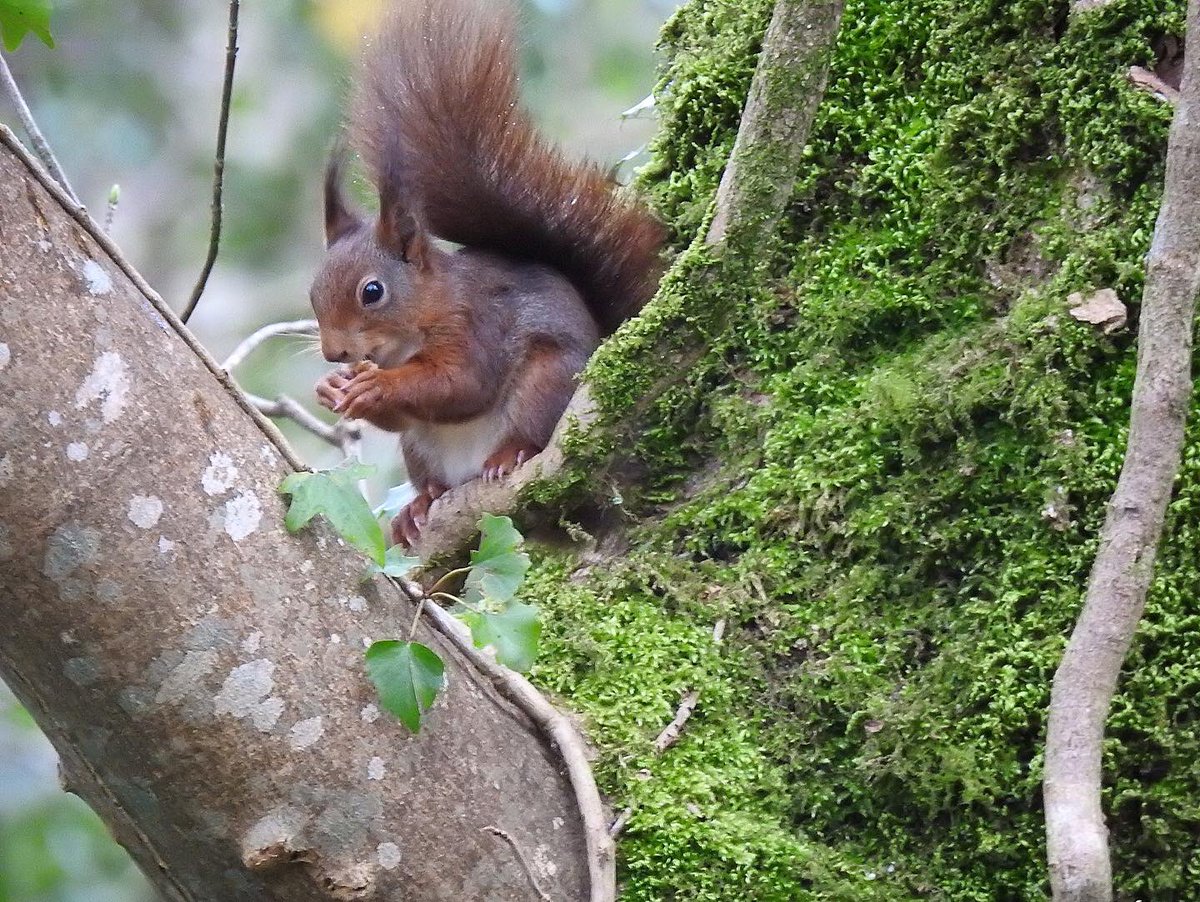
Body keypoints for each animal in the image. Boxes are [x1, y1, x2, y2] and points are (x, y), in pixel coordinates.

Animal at [309, 0, 667, 546]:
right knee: (428, 473)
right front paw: (333, 388)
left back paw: (510, 453)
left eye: (372, 291)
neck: (411, 332)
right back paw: (420, 505)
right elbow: (401, 417)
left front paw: (376, 386)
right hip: (420, 450)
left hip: (548, 382)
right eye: (312, 292)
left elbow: (463, 384)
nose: (334, 353)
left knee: (530, 430)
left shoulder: (478, 323)